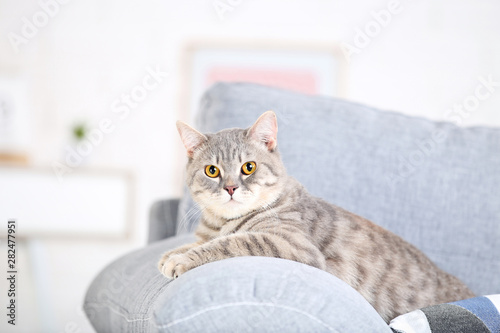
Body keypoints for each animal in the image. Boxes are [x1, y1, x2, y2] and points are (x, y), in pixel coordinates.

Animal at [158, 110, 474, 320]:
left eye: (249, 167)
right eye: (212, 170)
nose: (231, 188)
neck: (222, 222)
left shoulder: (290, 243)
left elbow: (231, 242)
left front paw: (180, 259)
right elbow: (201, 242)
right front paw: (172, 253)